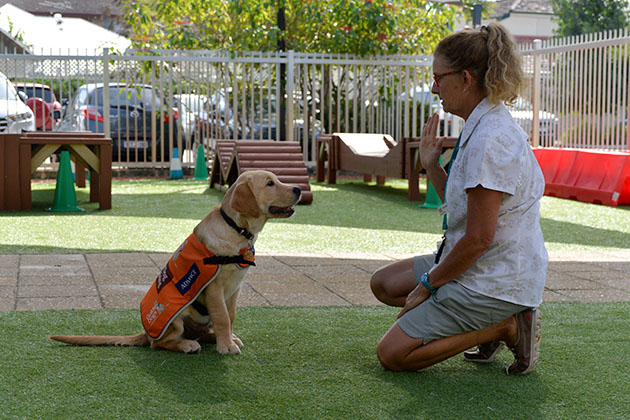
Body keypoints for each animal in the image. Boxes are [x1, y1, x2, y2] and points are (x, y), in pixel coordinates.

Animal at [50, 171, 302, 354]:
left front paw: (228, 339)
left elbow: (230, 317)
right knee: (160, 343)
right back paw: (187, 345)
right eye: (270, 183)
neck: (235, 229)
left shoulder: (234, 289)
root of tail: (145, 332)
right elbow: (222, 318)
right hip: (176, 318)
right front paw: (226, 346)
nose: (299, 188)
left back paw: (210, 338)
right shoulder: (215, 289)